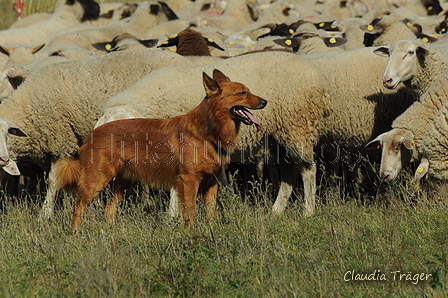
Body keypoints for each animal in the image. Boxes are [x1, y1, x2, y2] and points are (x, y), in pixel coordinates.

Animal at [54, 68, 268, 230]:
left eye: (248, 91)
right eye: (242, 93)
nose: (265, 101)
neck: (207, 132)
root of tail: (93, 132)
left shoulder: (211, 181)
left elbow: (210, 212)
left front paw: (212, 232)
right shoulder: (188, 180)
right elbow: (190, 211)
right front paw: (192, 234)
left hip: (123, 184)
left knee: (109, 210)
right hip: (96, 180)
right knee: (79, 208)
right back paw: (76, 236)